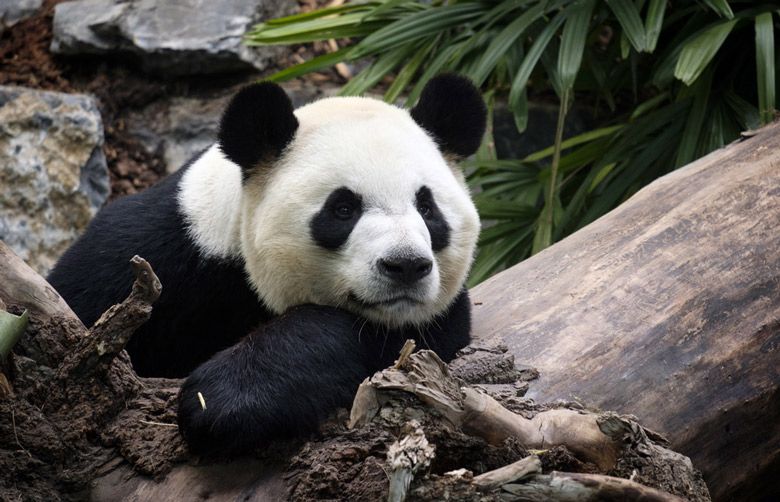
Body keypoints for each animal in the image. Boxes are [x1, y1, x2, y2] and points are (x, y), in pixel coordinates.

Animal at [47, 74, 486, 454]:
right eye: (343, 209)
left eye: (427, 208)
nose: (406, 265)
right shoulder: (152, 249)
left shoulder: (429, 320)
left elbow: (396, 339)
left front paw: (224, 401)